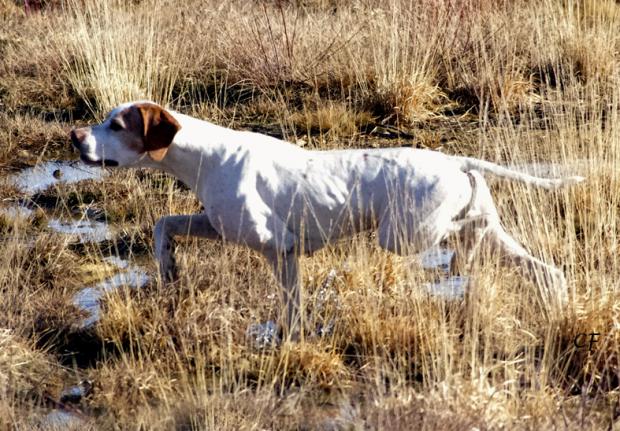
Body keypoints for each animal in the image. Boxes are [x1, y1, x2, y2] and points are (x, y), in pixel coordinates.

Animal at [70, 101, 584, 338]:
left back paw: (464, 255)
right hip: (491, 235)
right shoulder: (222, 227)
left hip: (401, 233)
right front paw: (168, 266)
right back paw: (556, 303)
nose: (74, 136)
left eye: (117, 125)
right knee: (545, 270)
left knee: (465, 235)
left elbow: (288, 301)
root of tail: (455, 160)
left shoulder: (276, 247)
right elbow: (165, 224)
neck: (206, 157)